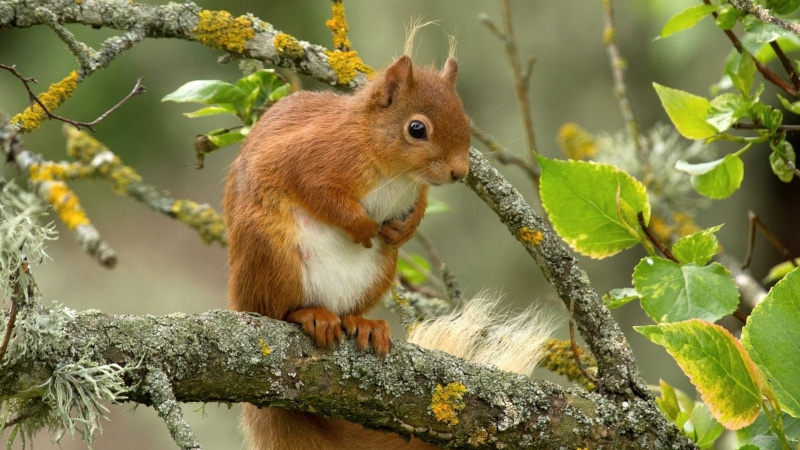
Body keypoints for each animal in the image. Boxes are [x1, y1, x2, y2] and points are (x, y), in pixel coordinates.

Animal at [224, 51, 473, 449]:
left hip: (378, 273)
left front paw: (404, 228)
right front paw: (362, 226)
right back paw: (309, 315)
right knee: (275, 310)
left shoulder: (415, 191)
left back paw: (363, 324)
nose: (459, 172)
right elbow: (318, 192)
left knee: (348, 311)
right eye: (417, 129)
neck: (396, 172)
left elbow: (417, 206)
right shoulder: (310, 156)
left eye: (466, 119)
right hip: (271, 254)